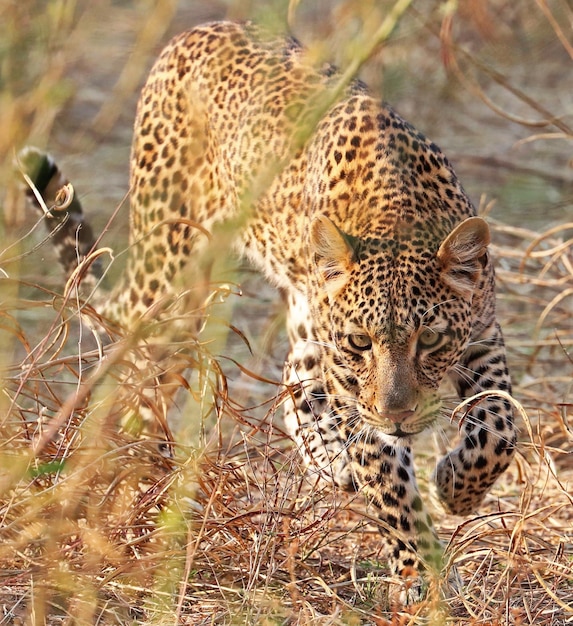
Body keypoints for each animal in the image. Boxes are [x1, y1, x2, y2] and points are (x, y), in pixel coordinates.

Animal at [21, 19, 512, 600]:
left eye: (430, 340)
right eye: (361, 342)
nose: (399, 414)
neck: (397, 214)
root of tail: (197, 29)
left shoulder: (483, 334)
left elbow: (501, 427)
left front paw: (457, 488)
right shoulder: (350, 376)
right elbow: (388, 480)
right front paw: (422, 572)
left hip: (292, 306)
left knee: (294, 376)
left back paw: (329, 462)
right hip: (175, 277)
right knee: (144, 378)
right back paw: (141, 480)